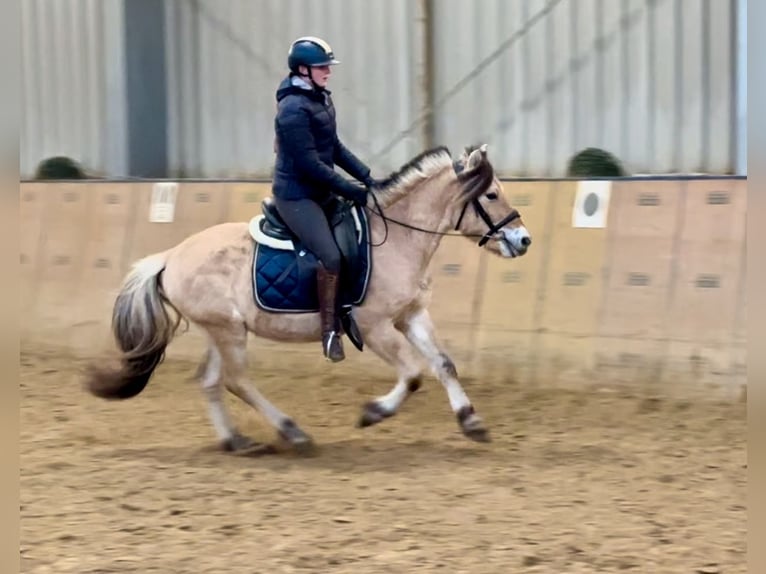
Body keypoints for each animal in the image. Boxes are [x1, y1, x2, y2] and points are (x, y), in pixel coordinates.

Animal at [85, 146, 536, 456]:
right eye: (491, 195)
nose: (523, 240)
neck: (399, 237)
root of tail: (170, 256)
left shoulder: (411, 315)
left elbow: (443, 364)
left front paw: (471, 421)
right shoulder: (375, 326)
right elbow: (412, 374)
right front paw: (373, 413)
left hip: (222, 329)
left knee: (212, 381)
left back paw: (237, 441)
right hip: (228, 331)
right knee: (236, 380)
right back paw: (292, 432)